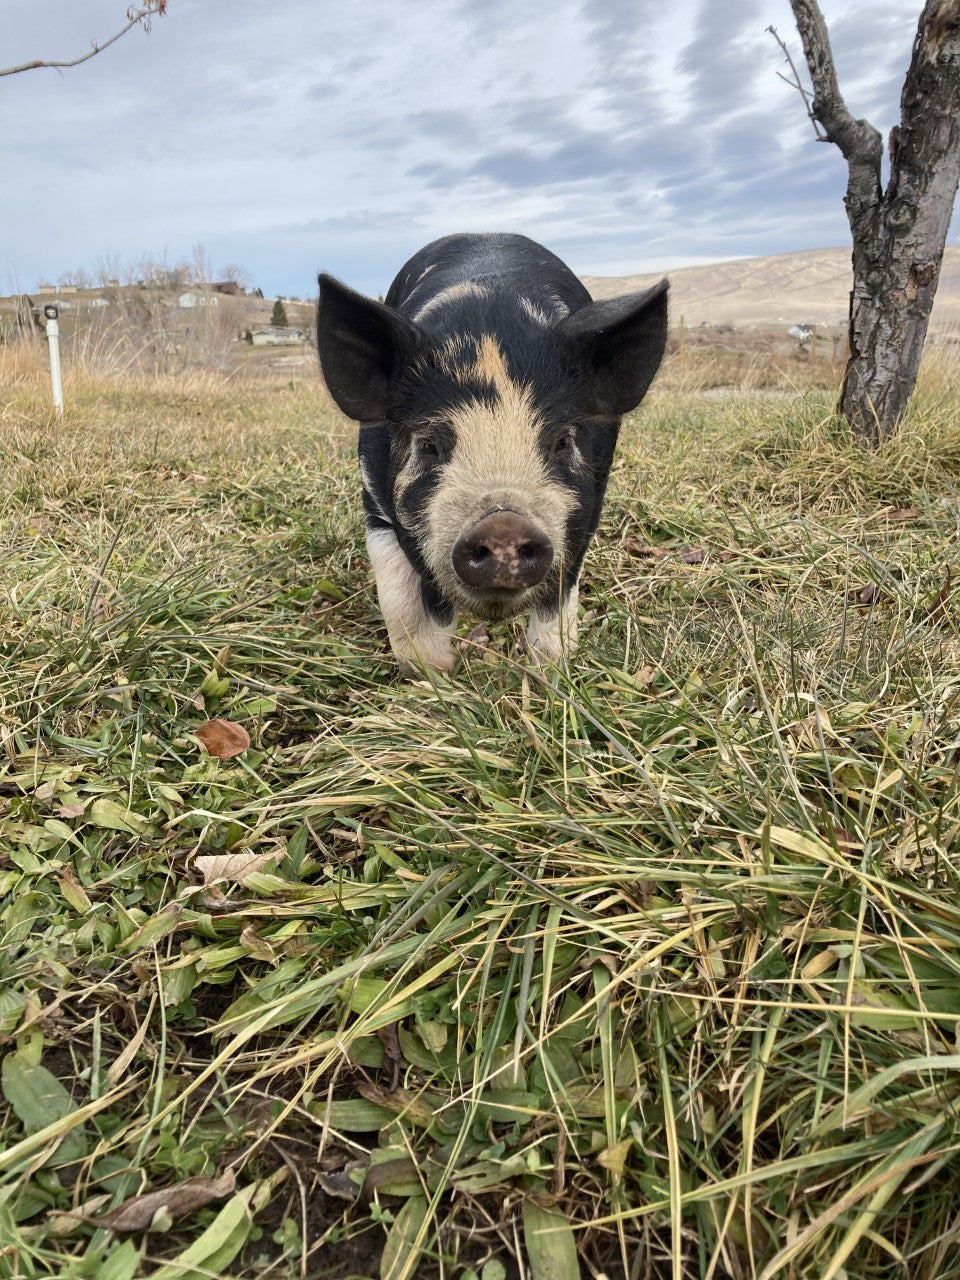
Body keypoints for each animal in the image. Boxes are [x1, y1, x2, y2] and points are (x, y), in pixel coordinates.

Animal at [317, 234, 670, 680]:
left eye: (561, 441)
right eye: (428, 445)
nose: (503, 524)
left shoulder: (587, 509)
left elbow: (557, 605)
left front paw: (550, 673)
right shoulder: (374, 498)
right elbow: (402, 601)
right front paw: (433, 677)